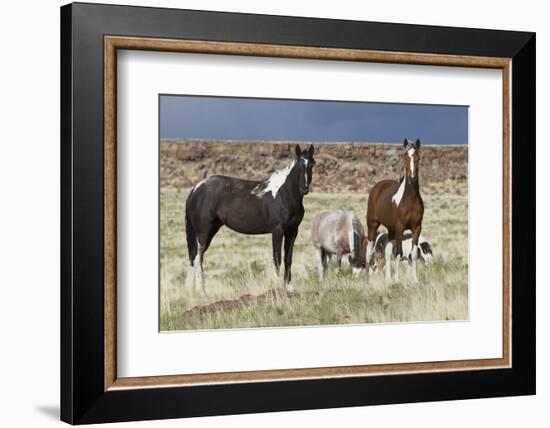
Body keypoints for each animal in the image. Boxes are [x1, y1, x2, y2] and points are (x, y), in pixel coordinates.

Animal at [185, 144, 316, 294]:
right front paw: (277, 287)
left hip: (212, 229)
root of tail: (197, 188)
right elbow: (277, 259)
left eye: (312, 164)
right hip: (203, 231)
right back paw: (201, 291)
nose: (305, 188)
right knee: (197, 257)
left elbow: (288, 259)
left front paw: (289, 287)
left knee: (194, 256)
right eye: (299, 165)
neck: (284, 193)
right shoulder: (277, 230)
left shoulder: (293, 231)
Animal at [366, 139, 426, 282]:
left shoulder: (417, 228)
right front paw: (397, 279)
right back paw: (367, 277)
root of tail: (377, 187)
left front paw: (415, 280)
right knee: (369, 251)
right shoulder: (400, 228)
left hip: (390, 229)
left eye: (418, 158)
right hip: (372, 225)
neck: (409, 200)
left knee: (387, 253)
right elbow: (399, 253)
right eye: (405, 158)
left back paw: (388, 279)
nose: (412, 179)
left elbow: (413, 254)